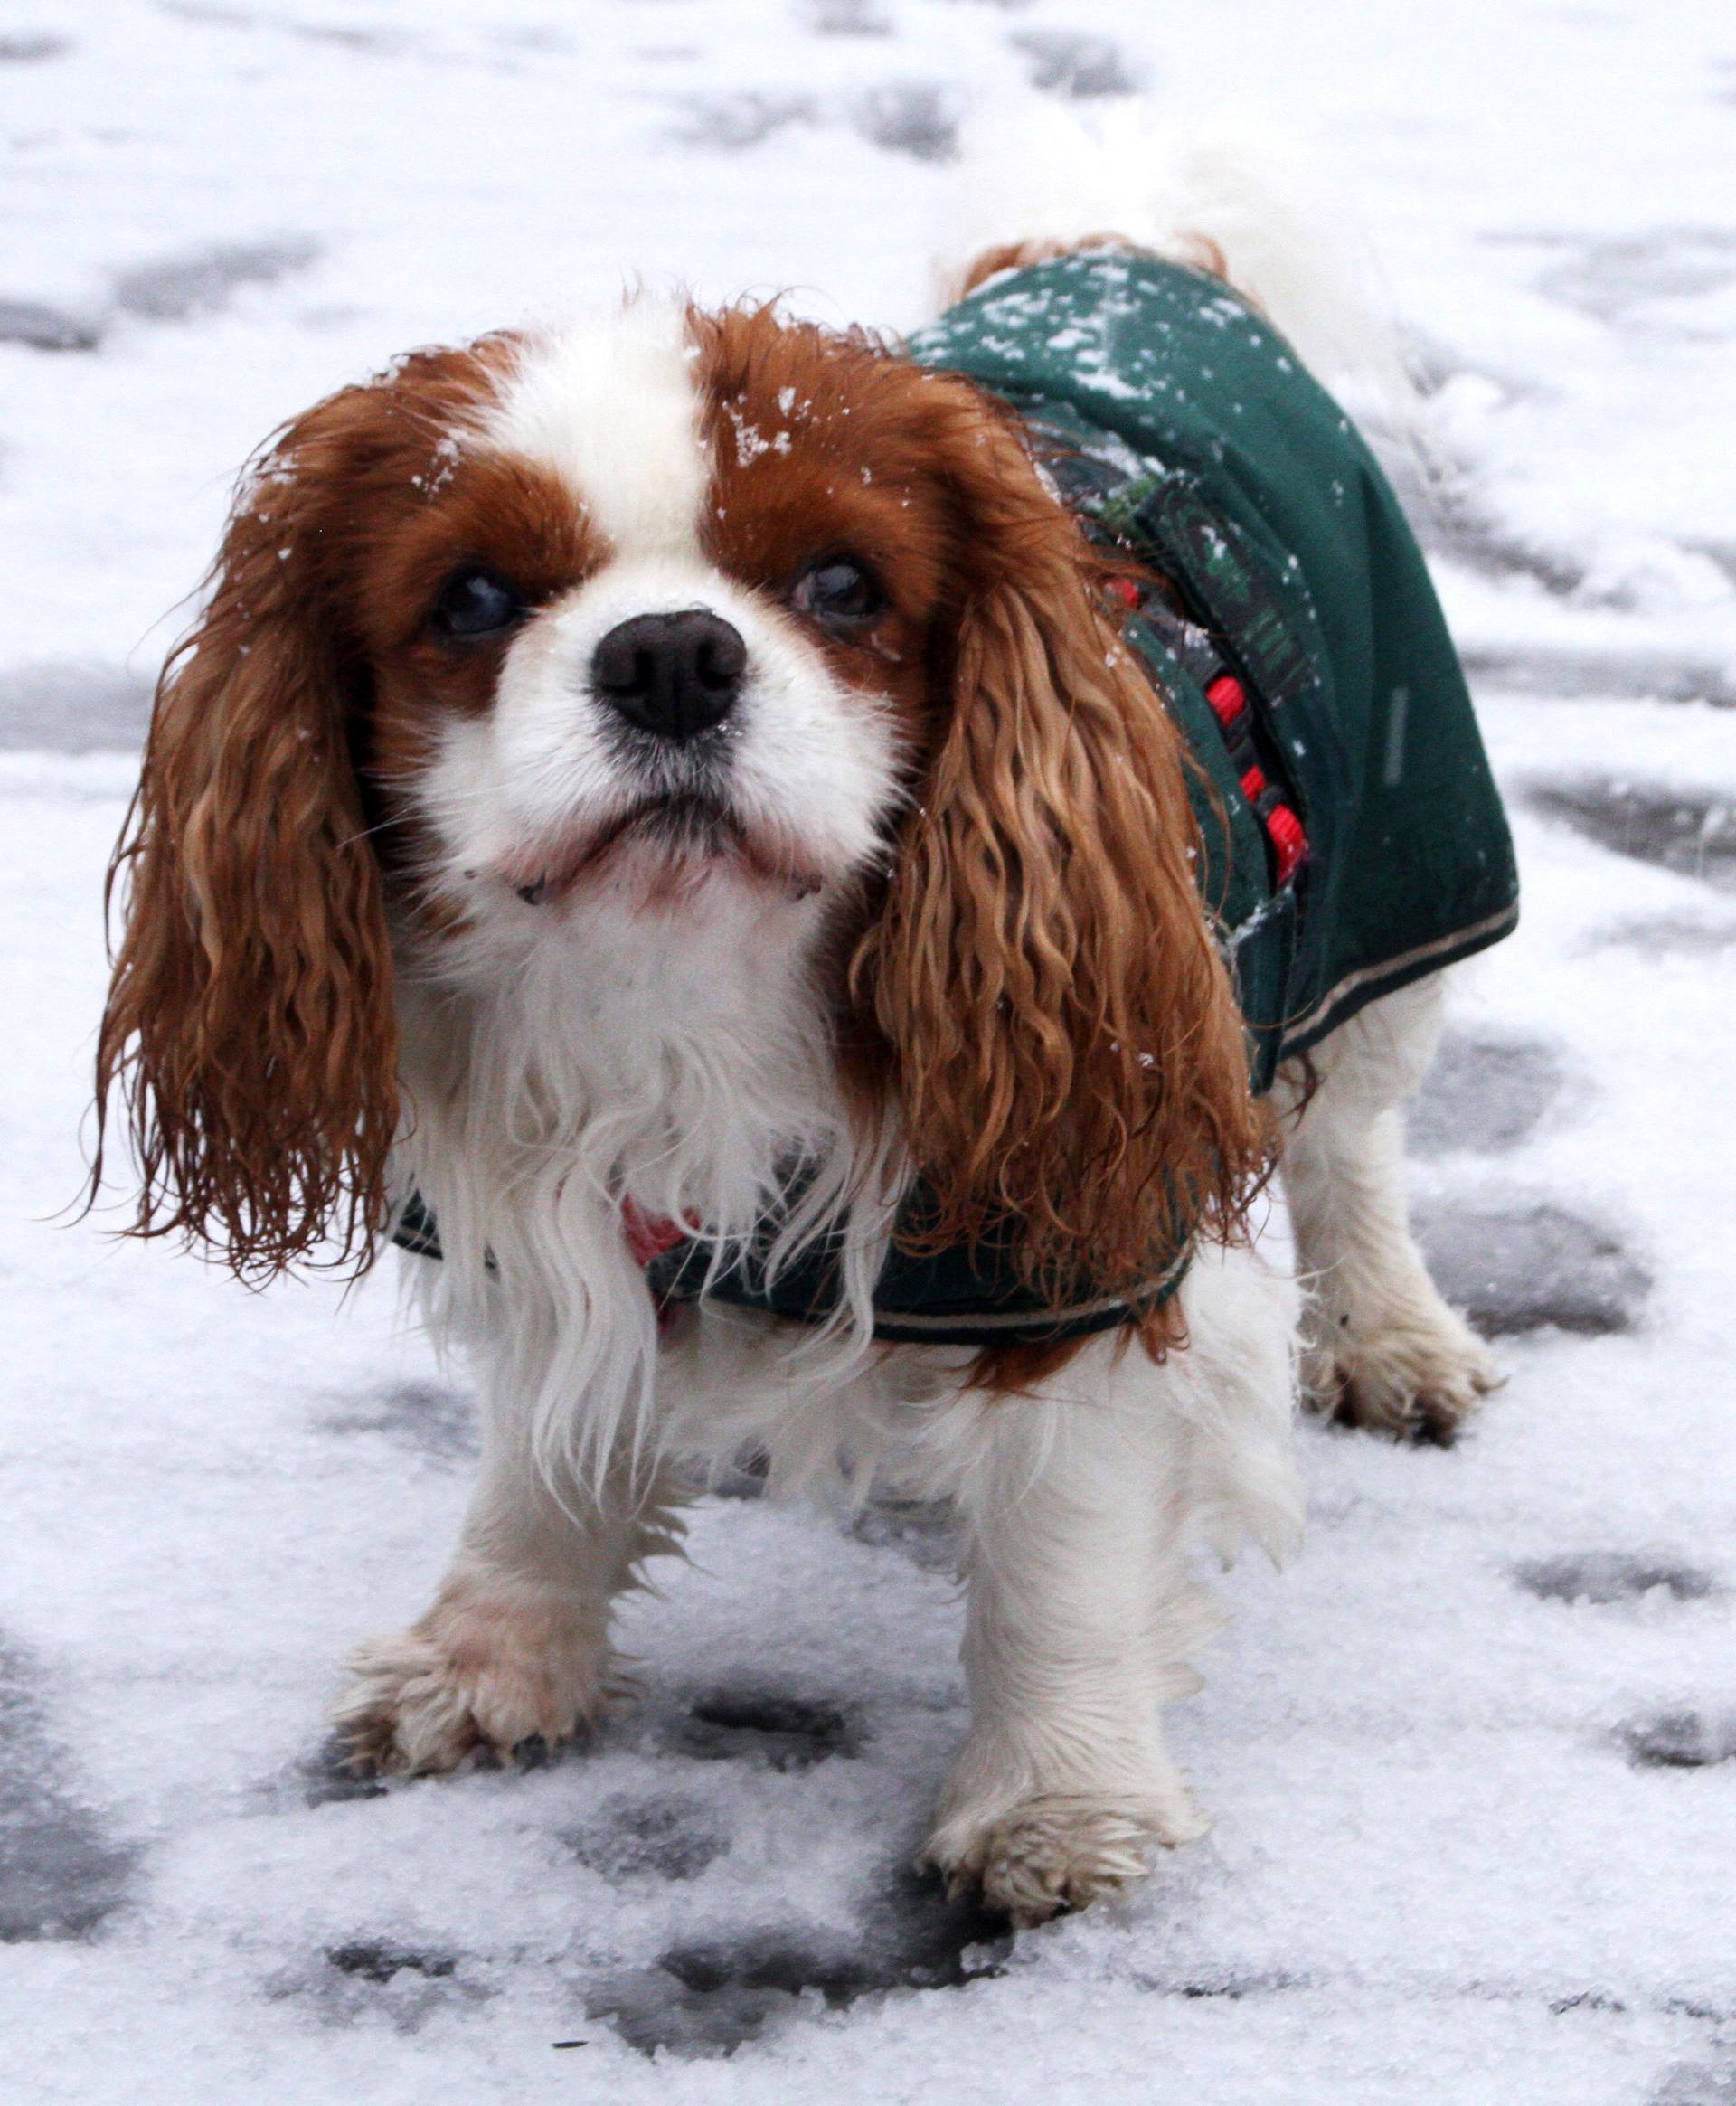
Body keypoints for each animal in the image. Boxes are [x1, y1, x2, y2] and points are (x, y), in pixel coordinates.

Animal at [91, 139, 1508, 1929]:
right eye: (473, 597)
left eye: (843, 584)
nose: (671, 654)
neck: (680, 1005)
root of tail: (1117, 247)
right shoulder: (548, 1202)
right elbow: (545, 1450)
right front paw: (492, 1650)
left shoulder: (1086, 1233)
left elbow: (1065, 1547)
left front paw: (1060, 1799)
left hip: (1389, 889)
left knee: (1349, 1147)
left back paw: (1391, 1337)